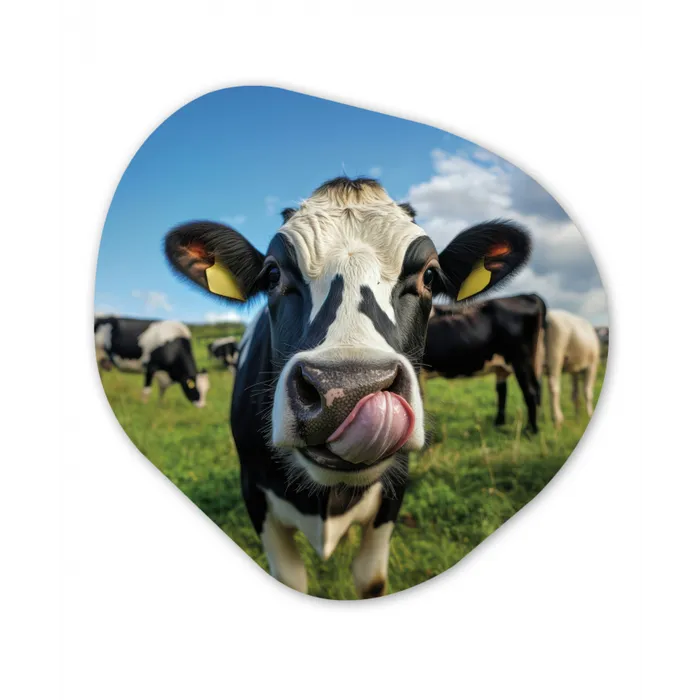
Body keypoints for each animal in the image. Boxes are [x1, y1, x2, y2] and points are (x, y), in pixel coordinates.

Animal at [163, 177, 531, 597]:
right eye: (273, 275)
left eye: (430, 276)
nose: (347, 391)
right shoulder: (254, 494)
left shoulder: (393, 493)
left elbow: (370, 580)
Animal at [421, 294, 547, 433]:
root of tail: (528, 296)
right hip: (524, 362)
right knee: (513, 390)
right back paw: (500, 425)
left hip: (520, 360)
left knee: (530, 392)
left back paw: (530, 430)